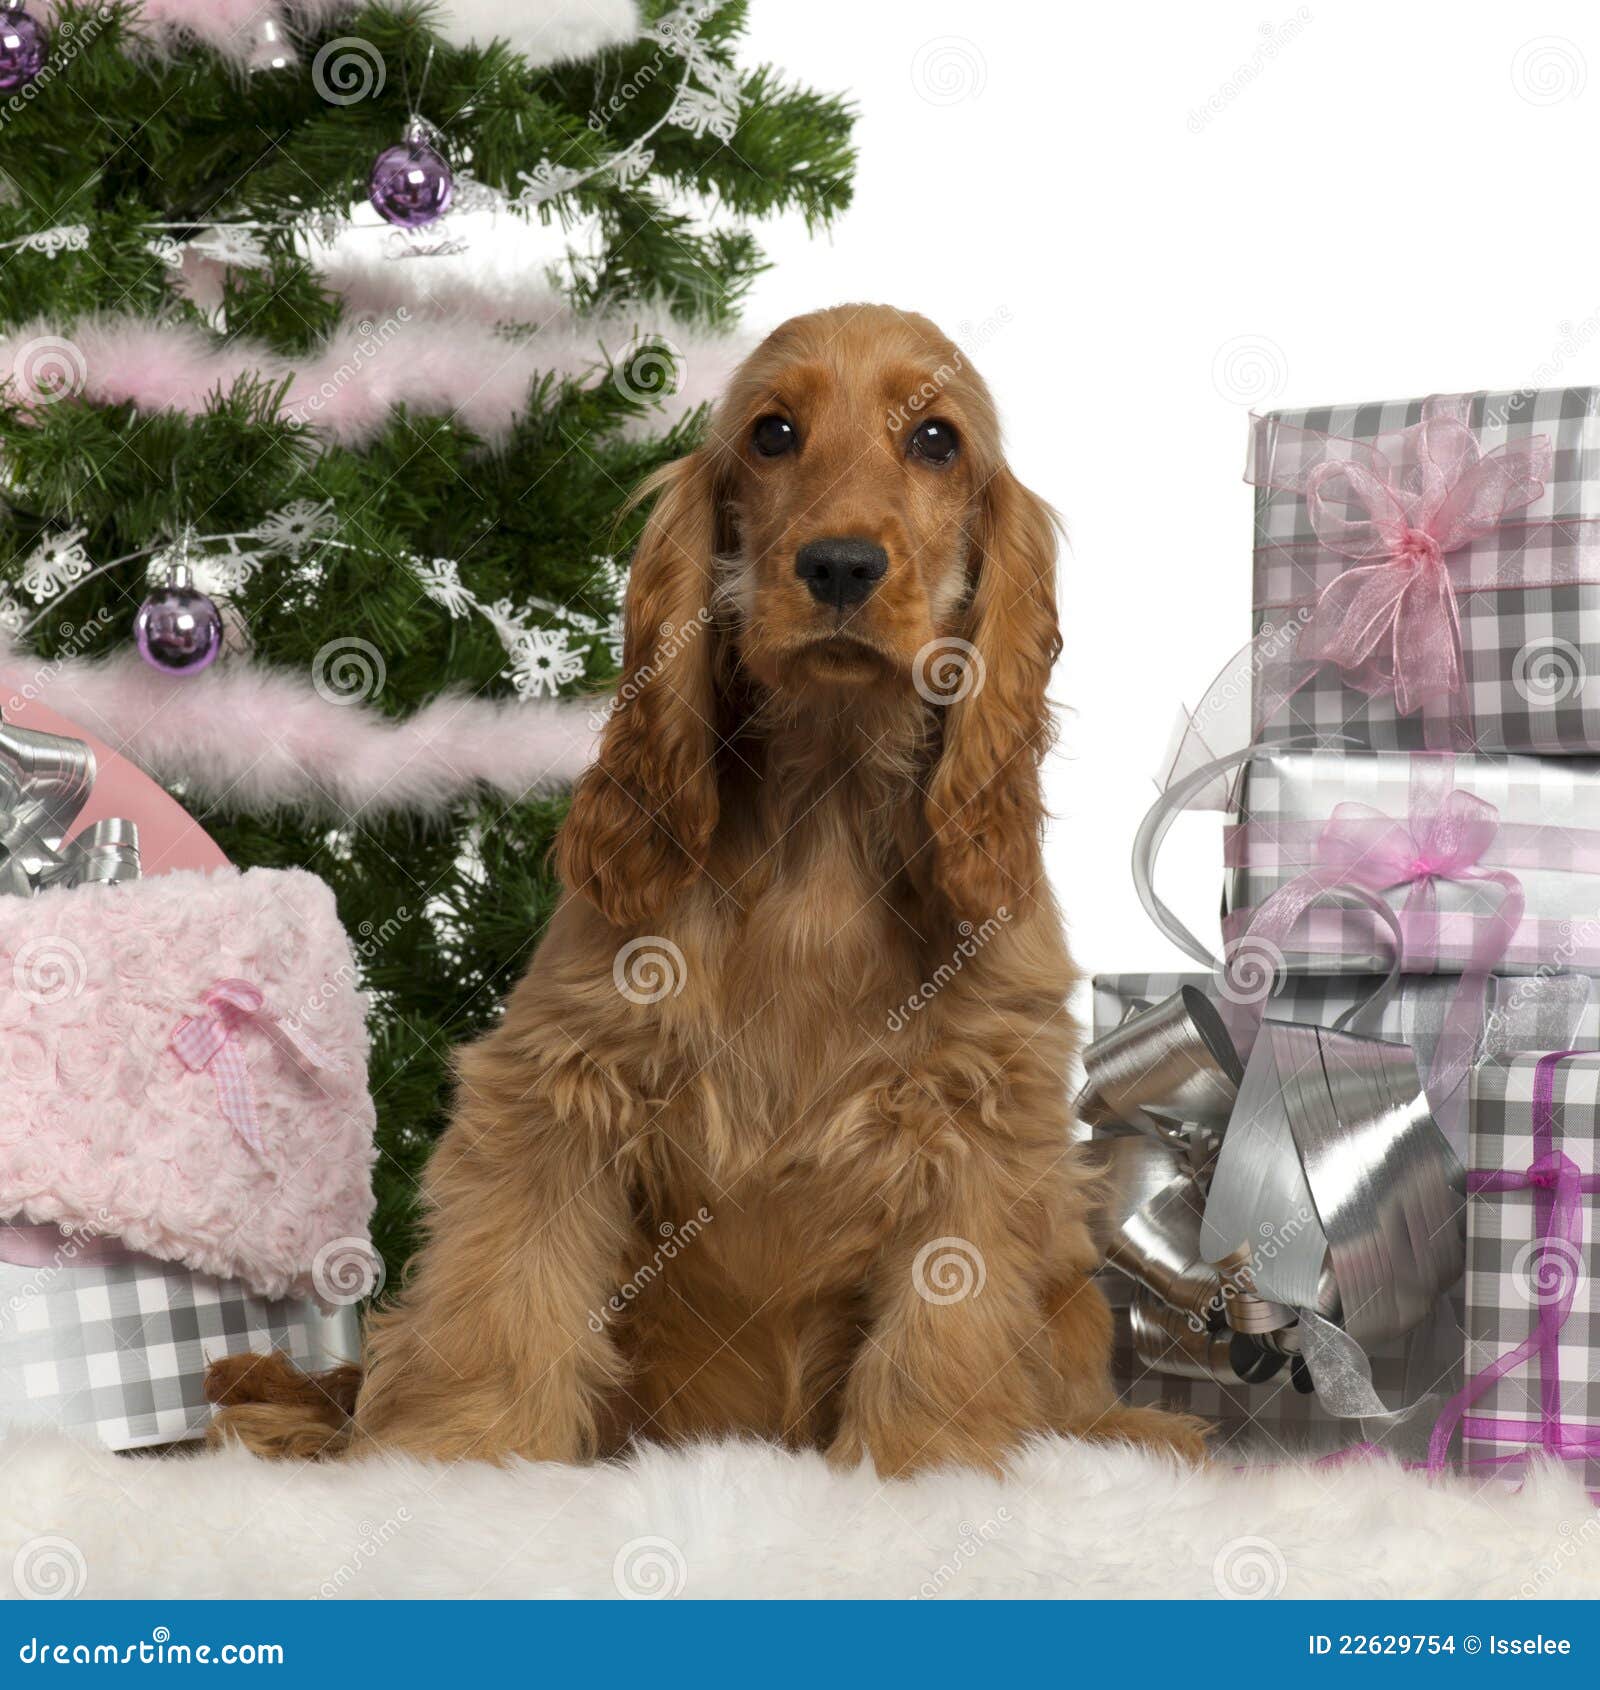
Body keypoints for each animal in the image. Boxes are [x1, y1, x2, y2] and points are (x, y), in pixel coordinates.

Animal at [216, 307, 1216, 1480]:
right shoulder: (560, 1081)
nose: (840, 564)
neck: (823, 808)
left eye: (936, 440)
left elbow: (946, 1325)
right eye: (773, 433)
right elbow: (502, 1285)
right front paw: (460, 1454)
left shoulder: (983, 1112)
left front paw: (923, 1467)